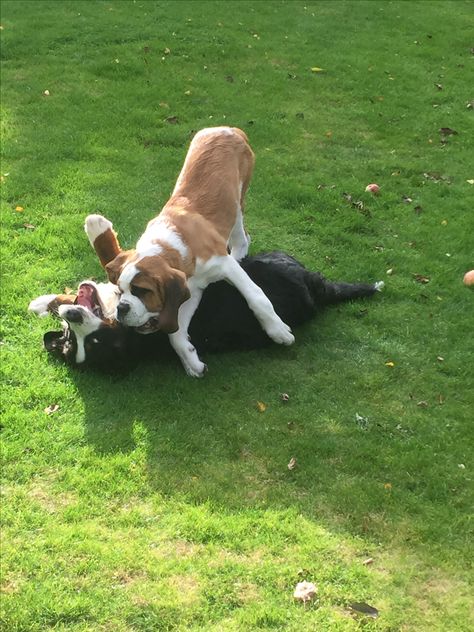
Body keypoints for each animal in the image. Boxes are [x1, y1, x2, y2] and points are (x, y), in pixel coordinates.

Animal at [83, 126, 294, 378]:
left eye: (142, 291)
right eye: (119, 291)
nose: (122, 309)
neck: (170, 249)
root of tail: (227, 128)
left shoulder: (223, 264)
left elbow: (256, 296)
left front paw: (278, 330)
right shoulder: (189, 291)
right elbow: (175, 333)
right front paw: (191, 361)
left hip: (237, 203)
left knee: (242, 238)